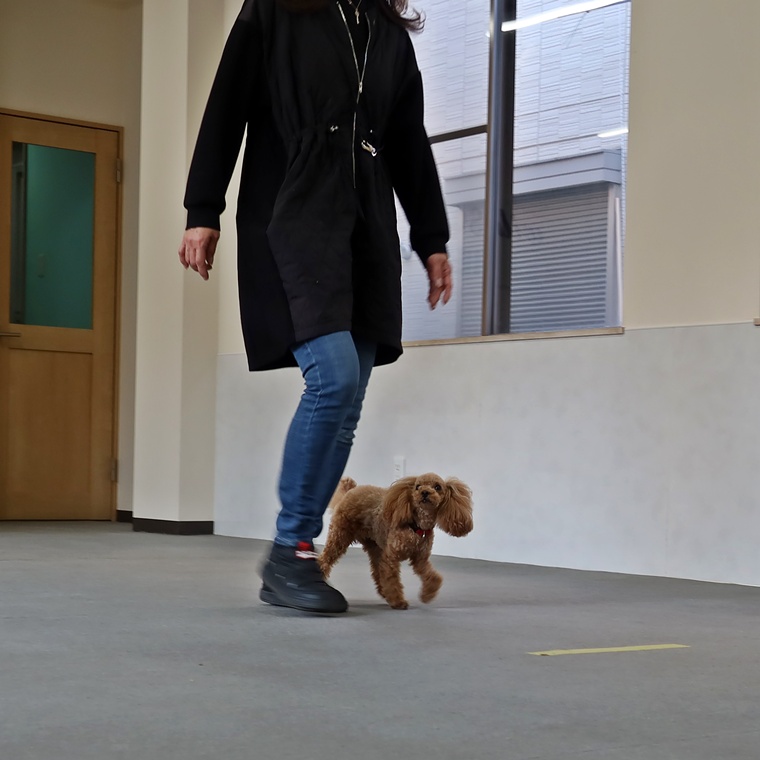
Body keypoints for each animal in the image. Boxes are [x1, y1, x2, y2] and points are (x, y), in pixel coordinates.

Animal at [319, 473, 473, 609]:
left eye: (437, 487)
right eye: (417, 486)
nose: (424, 492)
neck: (417, 527)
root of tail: (351, 490)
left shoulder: (420, 559)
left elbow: (431, 576)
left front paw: (427, 594)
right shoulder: (391, 557)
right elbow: (392, 580)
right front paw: (398, 601)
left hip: (375, 546)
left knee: (377, 571)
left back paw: (383, 592)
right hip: (340, 535)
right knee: (325, 558)